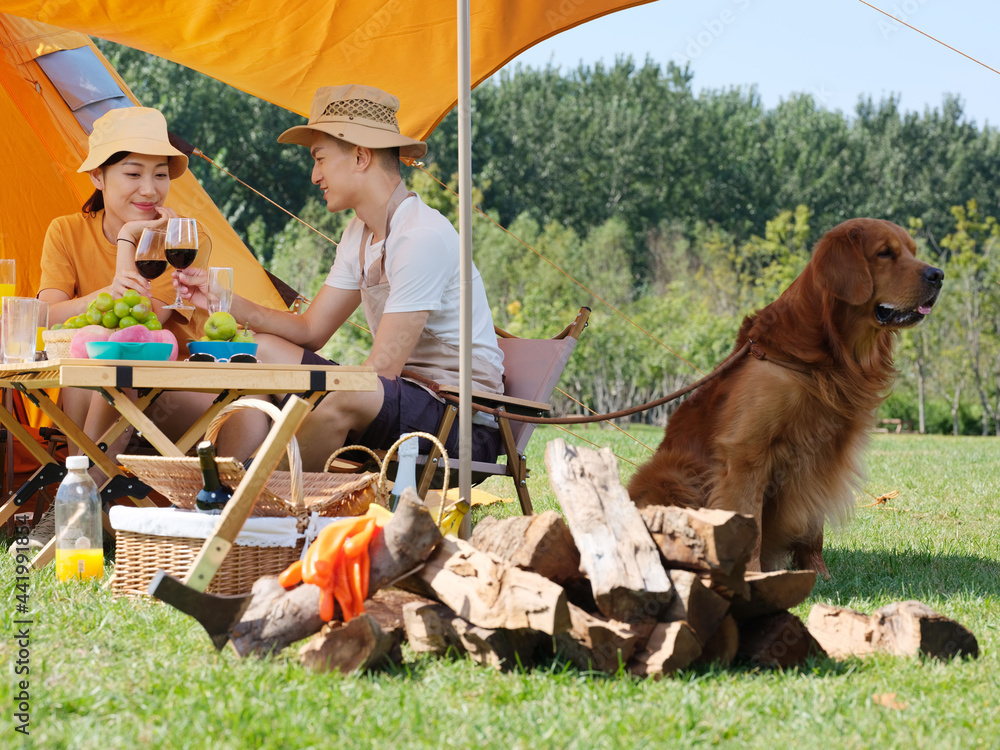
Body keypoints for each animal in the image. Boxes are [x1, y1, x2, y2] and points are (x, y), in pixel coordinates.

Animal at [628, 220, 940, 580]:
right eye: (885, 253)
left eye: (913, 252)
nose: (938, 275)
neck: (822, 360)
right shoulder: (747, 454)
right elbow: (750, 522)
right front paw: (753, 577)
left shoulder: (819, 457)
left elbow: (812, 529)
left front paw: (818, 575)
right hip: (672, 473)